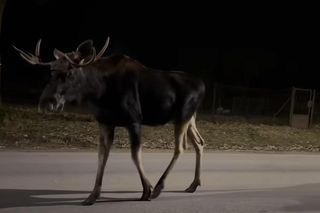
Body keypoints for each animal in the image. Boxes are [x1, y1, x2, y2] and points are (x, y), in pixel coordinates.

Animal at [13, 37, 205, 206]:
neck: (99, 93)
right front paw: (92, 196)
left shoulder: (134, 120)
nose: (46, 103)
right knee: (199, 142)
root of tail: (202, 85)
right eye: (51, 71)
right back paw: (193, 184)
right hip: (189, 119)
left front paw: (146, 189)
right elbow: (101, 156)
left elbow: (135, 154)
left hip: (183, 116)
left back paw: (159, 187)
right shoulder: (105, 122)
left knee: (181, 148)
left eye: (70, 73)